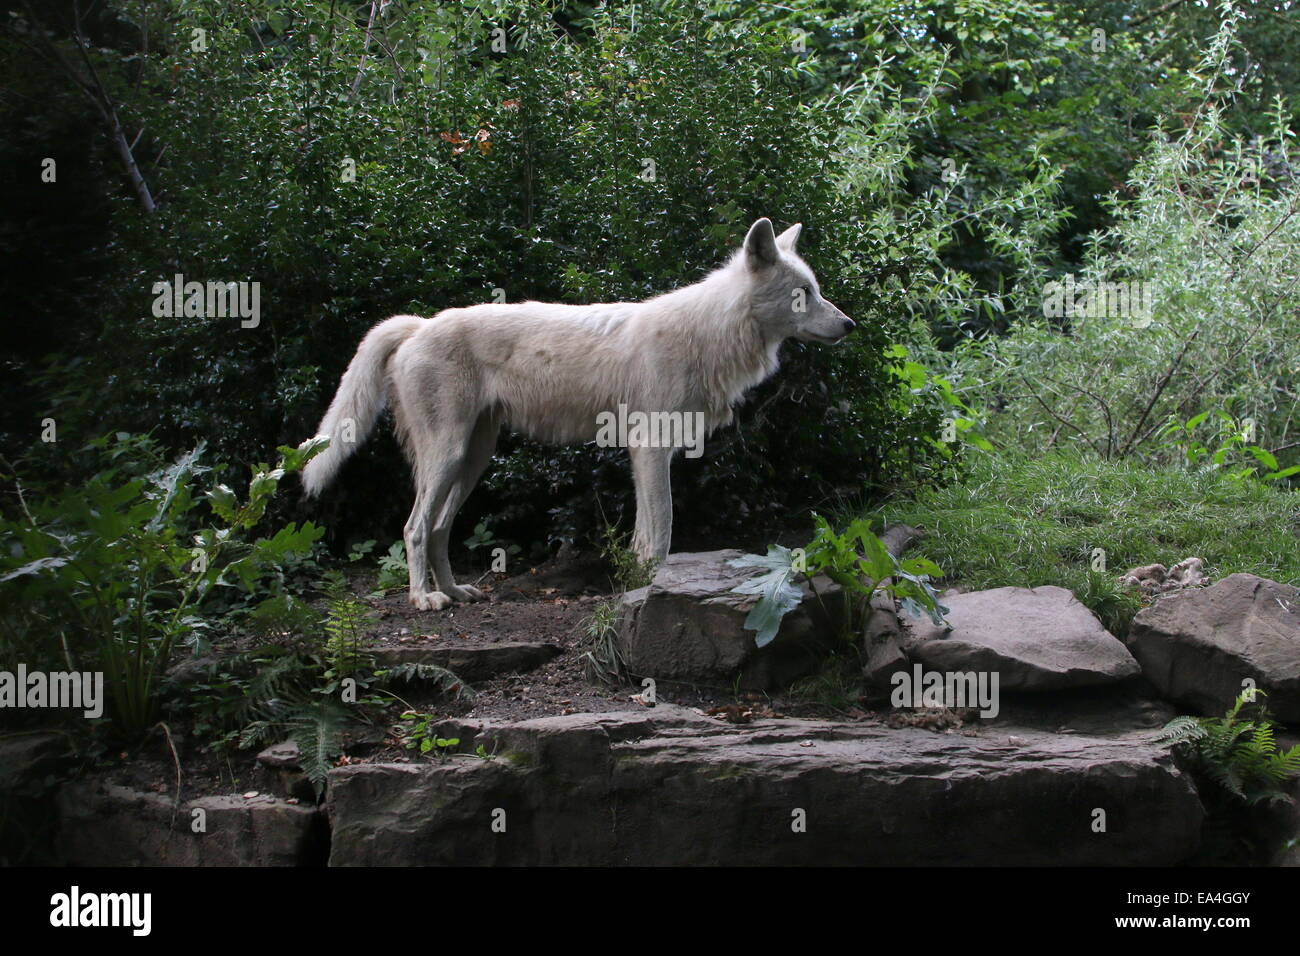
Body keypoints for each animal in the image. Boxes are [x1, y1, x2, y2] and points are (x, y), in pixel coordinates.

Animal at [302, 217, 852, 608]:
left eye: (816, 291)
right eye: (803, 295)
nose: (849, 325)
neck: (709, 334)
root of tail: (417, 325)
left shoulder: (647, 452)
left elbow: (643, 534)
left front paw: (636, 581)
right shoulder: (650, 447)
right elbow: (663, 529)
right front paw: (649, 585)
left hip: (472, 459)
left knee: (437, 529)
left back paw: (456, 593)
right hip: (449, 456)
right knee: (413, 528)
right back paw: (424, 599)